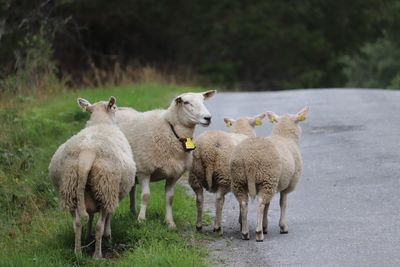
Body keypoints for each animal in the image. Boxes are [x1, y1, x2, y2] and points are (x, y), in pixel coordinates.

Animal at [47, 96, 136, 258]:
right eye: (115, 108)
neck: (100, 122)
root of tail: (87, 152)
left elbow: (89, 216)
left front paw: (88, 236)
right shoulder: (112, 195)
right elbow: (107, 217)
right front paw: (107, 235)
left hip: (70, 188)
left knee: (77, 223)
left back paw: (78, 252)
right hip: (106, 187)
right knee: (100, 225)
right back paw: (97, 255)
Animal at [115, 91, 216, 229]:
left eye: (203, 100)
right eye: (186, 102)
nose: (208, 118)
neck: (171, 131)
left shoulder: (174, 174)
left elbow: (170, 198)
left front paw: (170, 222)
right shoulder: (144, 170)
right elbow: (145, 196)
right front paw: (141, 220)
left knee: (132, 189)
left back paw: (133, 211)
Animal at [228, 107, 310, 243]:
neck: (284, 136)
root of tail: (250, 159)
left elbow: (269, 205)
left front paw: (265, 226)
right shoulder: (287, 185)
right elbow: (282, 203)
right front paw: (282, 227)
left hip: (239, 179)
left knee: (244, 203)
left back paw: (245, 233)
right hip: (267, 178)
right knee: (261, 203)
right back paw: (258, 233)